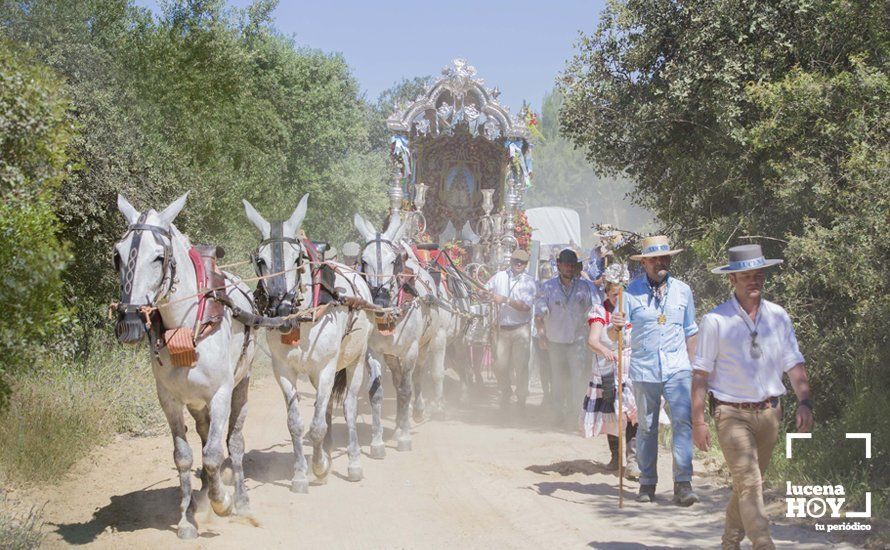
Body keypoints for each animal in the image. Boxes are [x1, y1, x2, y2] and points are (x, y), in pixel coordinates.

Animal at [112, 193, 255, 540]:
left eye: (159, 257)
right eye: (116, 256)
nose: (128, 323)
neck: (187, 327)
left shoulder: (220, 394)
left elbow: (216, 455)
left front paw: (222, 501)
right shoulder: (170, 400)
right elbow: (184, 456)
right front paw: (188, 518)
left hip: (241, 385)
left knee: (234, 442)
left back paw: (240, 500)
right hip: (196, 404)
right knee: (204, 437)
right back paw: (202, 495)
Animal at [241, 195, 372, 492]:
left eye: (298, 258)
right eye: (261, 260)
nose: (281, 310)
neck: (302, 319)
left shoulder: (326, 367)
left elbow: (316, 426)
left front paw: (319, 467)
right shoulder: (284, 371)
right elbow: (297, 424)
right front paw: (302, 472)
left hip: (354, 360)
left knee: (348, 406)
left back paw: (353, 462)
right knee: (327, 409)